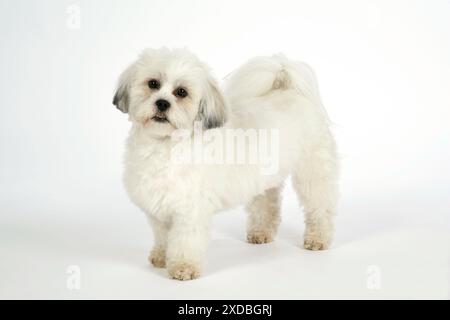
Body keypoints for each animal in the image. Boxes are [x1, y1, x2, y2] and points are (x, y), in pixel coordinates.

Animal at [112, 47, 338, 280]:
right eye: (153, 83)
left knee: (320, 208)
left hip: (313, 174)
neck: (165, 144)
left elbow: (185, 241)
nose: (162, 103)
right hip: (265, 181)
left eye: (181, 92)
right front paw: (161, 257)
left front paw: (183, 267)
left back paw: (318, 239)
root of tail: (290, 90)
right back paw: (261, 233)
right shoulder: (159, 208)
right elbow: (162, 236)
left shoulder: (190, 211)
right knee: (267, 204)